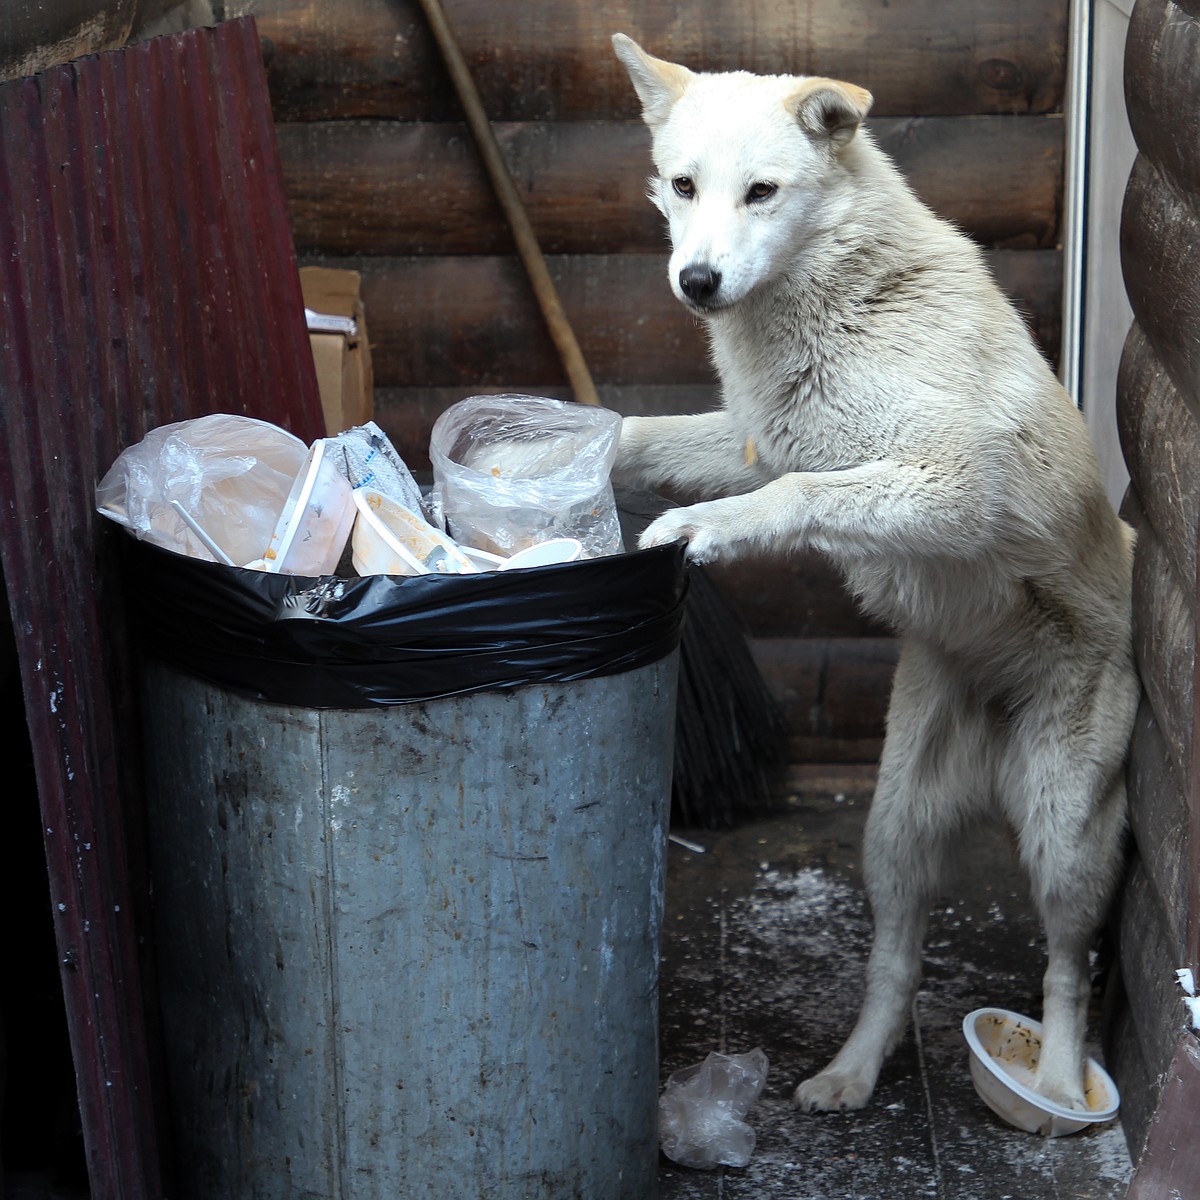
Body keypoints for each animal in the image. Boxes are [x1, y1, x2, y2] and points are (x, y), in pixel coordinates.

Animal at [614, 30, 1137, 1113]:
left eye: (761, 192)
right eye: (684, 186)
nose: (697, 280)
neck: (842, 301)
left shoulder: (945, 486)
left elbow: (793, 497)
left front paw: (700, 530)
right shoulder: (759, 439)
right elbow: (649, 434)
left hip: (1063, 834)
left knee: (1067, 967)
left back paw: (1055, 1085)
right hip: (894, 831)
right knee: (897, 962)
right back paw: (849, 1074)